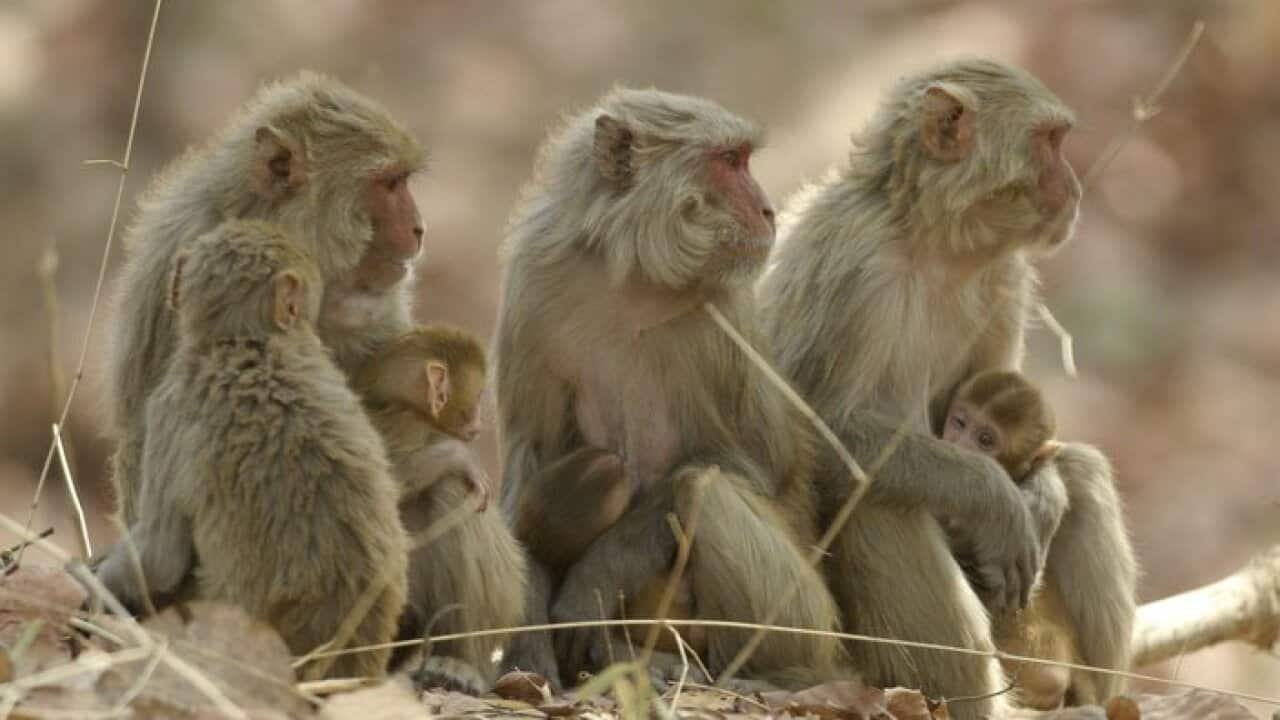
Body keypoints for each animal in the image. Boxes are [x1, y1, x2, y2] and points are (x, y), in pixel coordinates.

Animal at [352, 326, 527, 689]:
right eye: (477, 398)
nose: (480, 422)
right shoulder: (411, 426)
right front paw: (456, 457)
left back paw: (459, 662)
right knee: (454, 487)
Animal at [494, 87, 846, 690]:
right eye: (729, 161)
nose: (767, 209)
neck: (631, 275)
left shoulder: (722, 316)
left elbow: (749, 464)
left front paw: (593, 580)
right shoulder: (533, 281)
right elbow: (532, 455)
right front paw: (528, 638)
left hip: (808, 619)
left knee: (706, 491)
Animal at [758, 59, 1136, 716]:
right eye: (1051, 142)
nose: (1075, 188)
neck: (932, 243)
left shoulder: (1005, 275)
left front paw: (1039, 491)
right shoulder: (854, 268)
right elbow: (820, 441)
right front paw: (994, 498)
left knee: (1085, 473)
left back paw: (1092, 695)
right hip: (847, 650)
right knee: (880, 500)